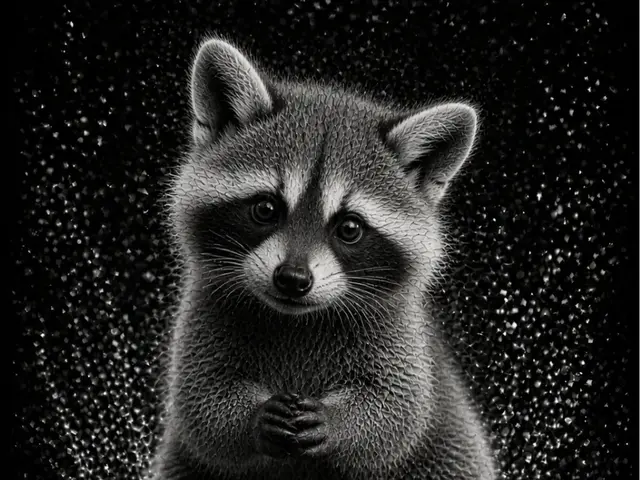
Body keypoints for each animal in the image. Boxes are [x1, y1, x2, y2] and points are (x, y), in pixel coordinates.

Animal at [150, 37, 497, 480]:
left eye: (349, 228)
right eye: (266, 208)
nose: (293, 279)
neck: (296, 319)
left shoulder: (400, 335)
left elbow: (398, 413)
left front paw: (342, 423)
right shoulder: (202, 313)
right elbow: (199, 404)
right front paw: (250, 417)